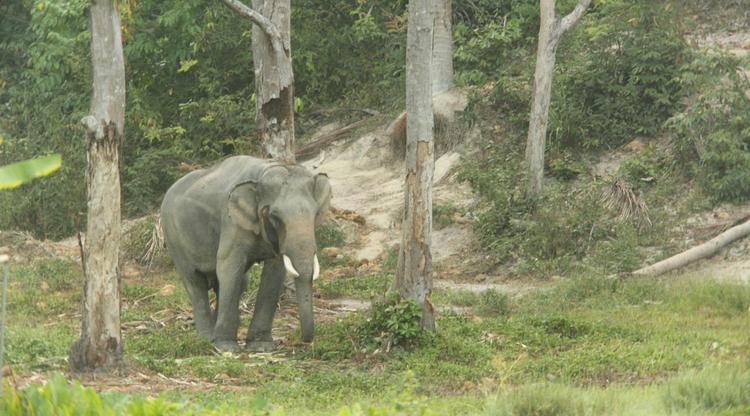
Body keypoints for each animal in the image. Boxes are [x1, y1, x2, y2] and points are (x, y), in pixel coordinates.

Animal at [160, 156, 331, 352]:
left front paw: (261, 347)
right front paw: (226, 348)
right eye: (275, 217)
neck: (263, 171)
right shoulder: (231, 222)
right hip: (173, 238)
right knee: (196, 284)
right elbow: (228, 265)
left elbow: (275, 271)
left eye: (315, 214)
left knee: (236, 282)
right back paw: (207, 339)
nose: (304, 341)